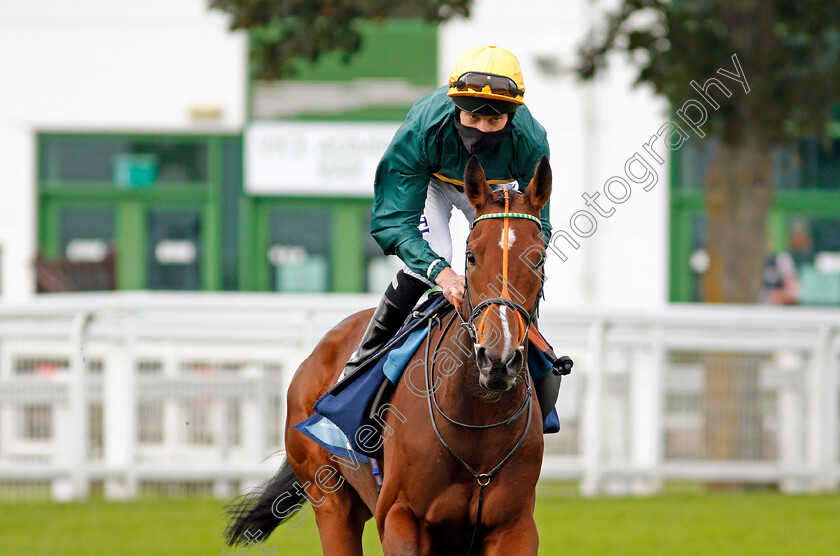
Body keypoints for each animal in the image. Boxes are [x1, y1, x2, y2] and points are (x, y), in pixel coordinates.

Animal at [225, 154, 552, 552]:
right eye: (471, 256)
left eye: (538, 258)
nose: (498, 359)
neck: (477, 418)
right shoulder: (400, 517)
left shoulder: (514, 526)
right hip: (332, 502)